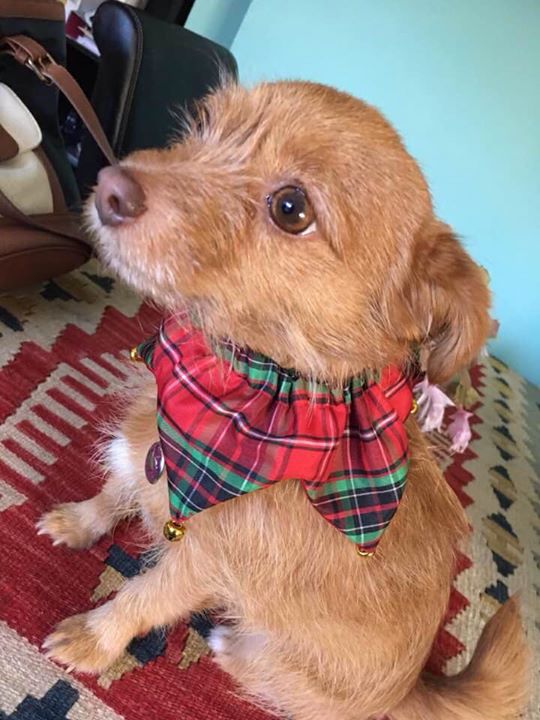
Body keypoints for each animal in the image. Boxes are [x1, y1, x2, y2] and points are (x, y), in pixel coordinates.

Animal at [38, 80, 529, 720]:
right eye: (204, 124)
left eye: (291, 208)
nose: (110, 185)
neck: (243, 391)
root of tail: (413, 688)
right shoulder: (155, 456)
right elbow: (115, 488)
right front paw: (78, 521)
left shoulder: (201, 564)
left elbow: (141, 598)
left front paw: (93, 639)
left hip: (275, 656)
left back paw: (224, 644)